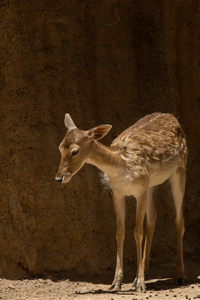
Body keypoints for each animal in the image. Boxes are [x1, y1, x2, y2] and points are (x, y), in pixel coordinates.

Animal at [55, 111, 188, 292]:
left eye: (75, 151)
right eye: (60, 147)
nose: (59, 178)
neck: (123, 167)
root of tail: (171, 116)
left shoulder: (139, 190)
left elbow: (137, 232)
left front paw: (140, 284)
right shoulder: (117, 193)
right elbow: (119, 232)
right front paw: (116, 283)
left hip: (180, 168)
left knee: (179, 219)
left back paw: (179, 275)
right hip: (150, 184)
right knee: (152, 218)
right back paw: (143, 272)